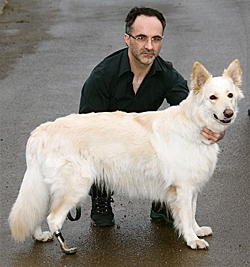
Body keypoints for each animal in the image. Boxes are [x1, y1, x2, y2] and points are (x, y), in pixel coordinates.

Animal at [8, 60, 243, 255]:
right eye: (212, 98)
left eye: (230, 96)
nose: (228, 113)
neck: (194, 123)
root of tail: (41, 131)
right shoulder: (183, 188)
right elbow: (186, 216)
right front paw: (192, 240)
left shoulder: (190, 189)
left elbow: (192, 213)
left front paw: (197, 230)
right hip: (76, 186)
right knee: (52, 217)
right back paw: (65, 247)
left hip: (47, 186)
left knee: (37, 211)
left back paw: (40, 236)